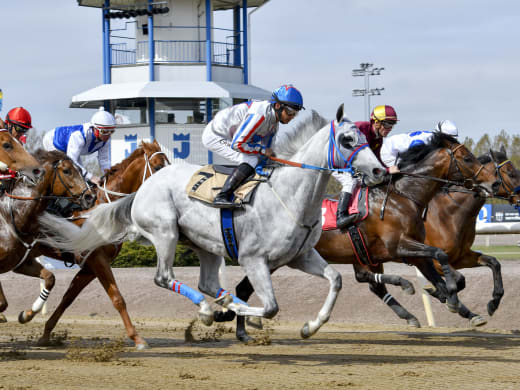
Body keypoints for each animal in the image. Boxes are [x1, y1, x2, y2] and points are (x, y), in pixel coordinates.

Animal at [0, 149, 94, 322]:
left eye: (79, 170)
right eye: (67, 171)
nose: (90, 197)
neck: (11, 219)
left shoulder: (22, 263)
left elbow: (50, 278)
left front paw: (27, 314)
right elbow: (2, 304)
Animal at [15, 142, 167, 348]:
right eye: (158, 167)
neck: (103, 210)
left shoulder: (89, 266)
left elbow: (68, 298)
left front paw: (45, 334)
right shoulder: (98, 259)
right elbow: (118, 298)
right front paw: (137, 338)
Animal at [36, 106, 386, 338]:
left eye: (364, 137)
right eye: (347, 139)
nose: (380, 171)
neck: (289, 196)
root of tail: (141, 191)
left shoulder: (300, 256)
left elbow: (335, 280)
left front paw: (310, 326)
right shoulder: (254, 259)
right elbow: (270, 306)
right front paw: (239, 313)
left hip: (205, 244)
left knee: (206, 282)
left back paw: (220, 305)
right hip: (166, 234)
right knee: (164, 277)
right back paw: (210, 310)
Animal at [210, 131, 500, 342]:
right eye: (467, 158)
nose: (493, 183)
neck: (403, 198)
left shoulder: (412, 251)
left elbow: (447, 273)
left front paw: (466, 303)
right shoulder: (400, 247)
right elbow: (441, 261)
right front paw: (451, 294)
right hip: (274, 258)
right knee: (243, 288)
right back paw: (242, 327)